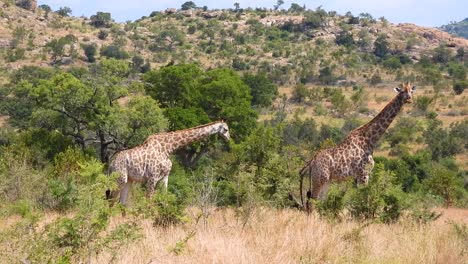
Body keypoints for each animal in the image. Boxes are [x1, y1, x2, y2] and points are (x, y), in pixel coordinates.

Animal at [298, 82, 414, 210]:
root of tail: (311, 162)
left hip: (326, 180)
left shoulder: (362, 175)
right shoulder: (363, 174)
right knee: (311, 202)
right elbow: (364, 198)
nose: (409, 99)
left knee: (319, 201)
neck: (369, 140)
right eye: (402, 91)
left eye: (411, 91)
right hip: (319, 179)